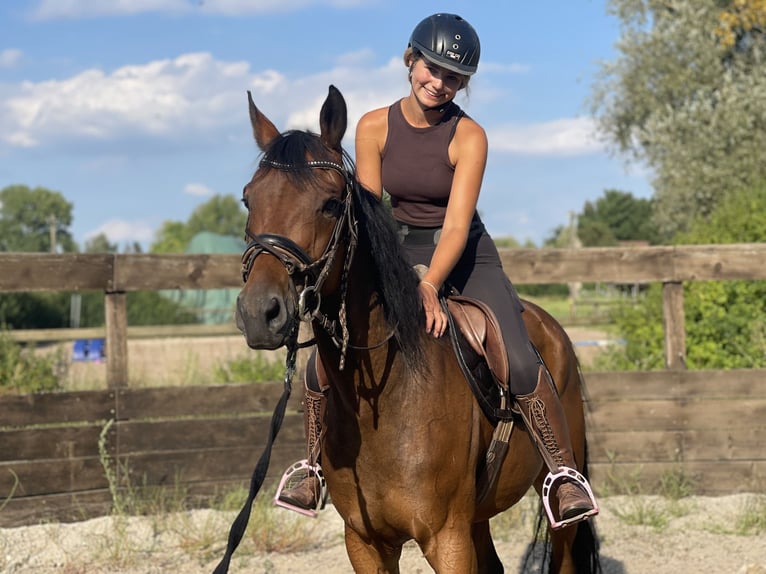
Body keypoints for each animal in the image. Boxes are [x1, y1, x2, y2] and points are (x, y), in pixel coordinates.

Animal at [231, 85, 604, 574]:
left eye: (330, 203)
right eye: (248, 199)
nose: (261, 312)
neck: (388, 398)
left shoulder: (447, 539)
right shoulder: (365, 542)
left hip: (554, 506)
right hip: (476, 517)